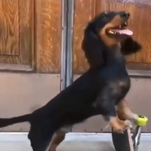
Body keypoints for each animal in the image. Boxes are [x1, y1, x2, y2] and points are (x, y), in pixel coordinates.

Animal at [0, 10, 142, 151]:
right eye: (105, 15)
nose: (126, 14)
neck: (112, 64)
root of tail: (34, 115)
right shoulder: (103, 101)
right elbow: (111, 113)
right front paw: (120, 125)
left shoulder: (120, 97)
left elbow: (125, 109)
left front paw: (134, 117)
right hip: (41, 142)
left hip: (58, 136)